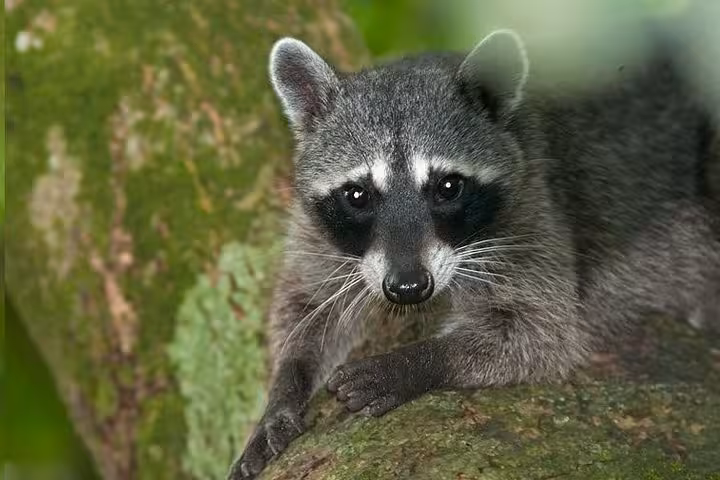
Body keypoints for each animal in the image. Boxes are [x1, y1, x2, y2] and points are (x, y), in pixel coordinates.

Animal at [228, 30, 720, 479]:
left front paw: (417, 362)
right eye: (357, 194)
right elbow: (306, 304)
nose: (409, 287)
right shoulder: (317, 229)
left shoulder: (532, 206)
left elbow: (543, 331)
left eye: (448, 187)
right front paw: (284, 388)